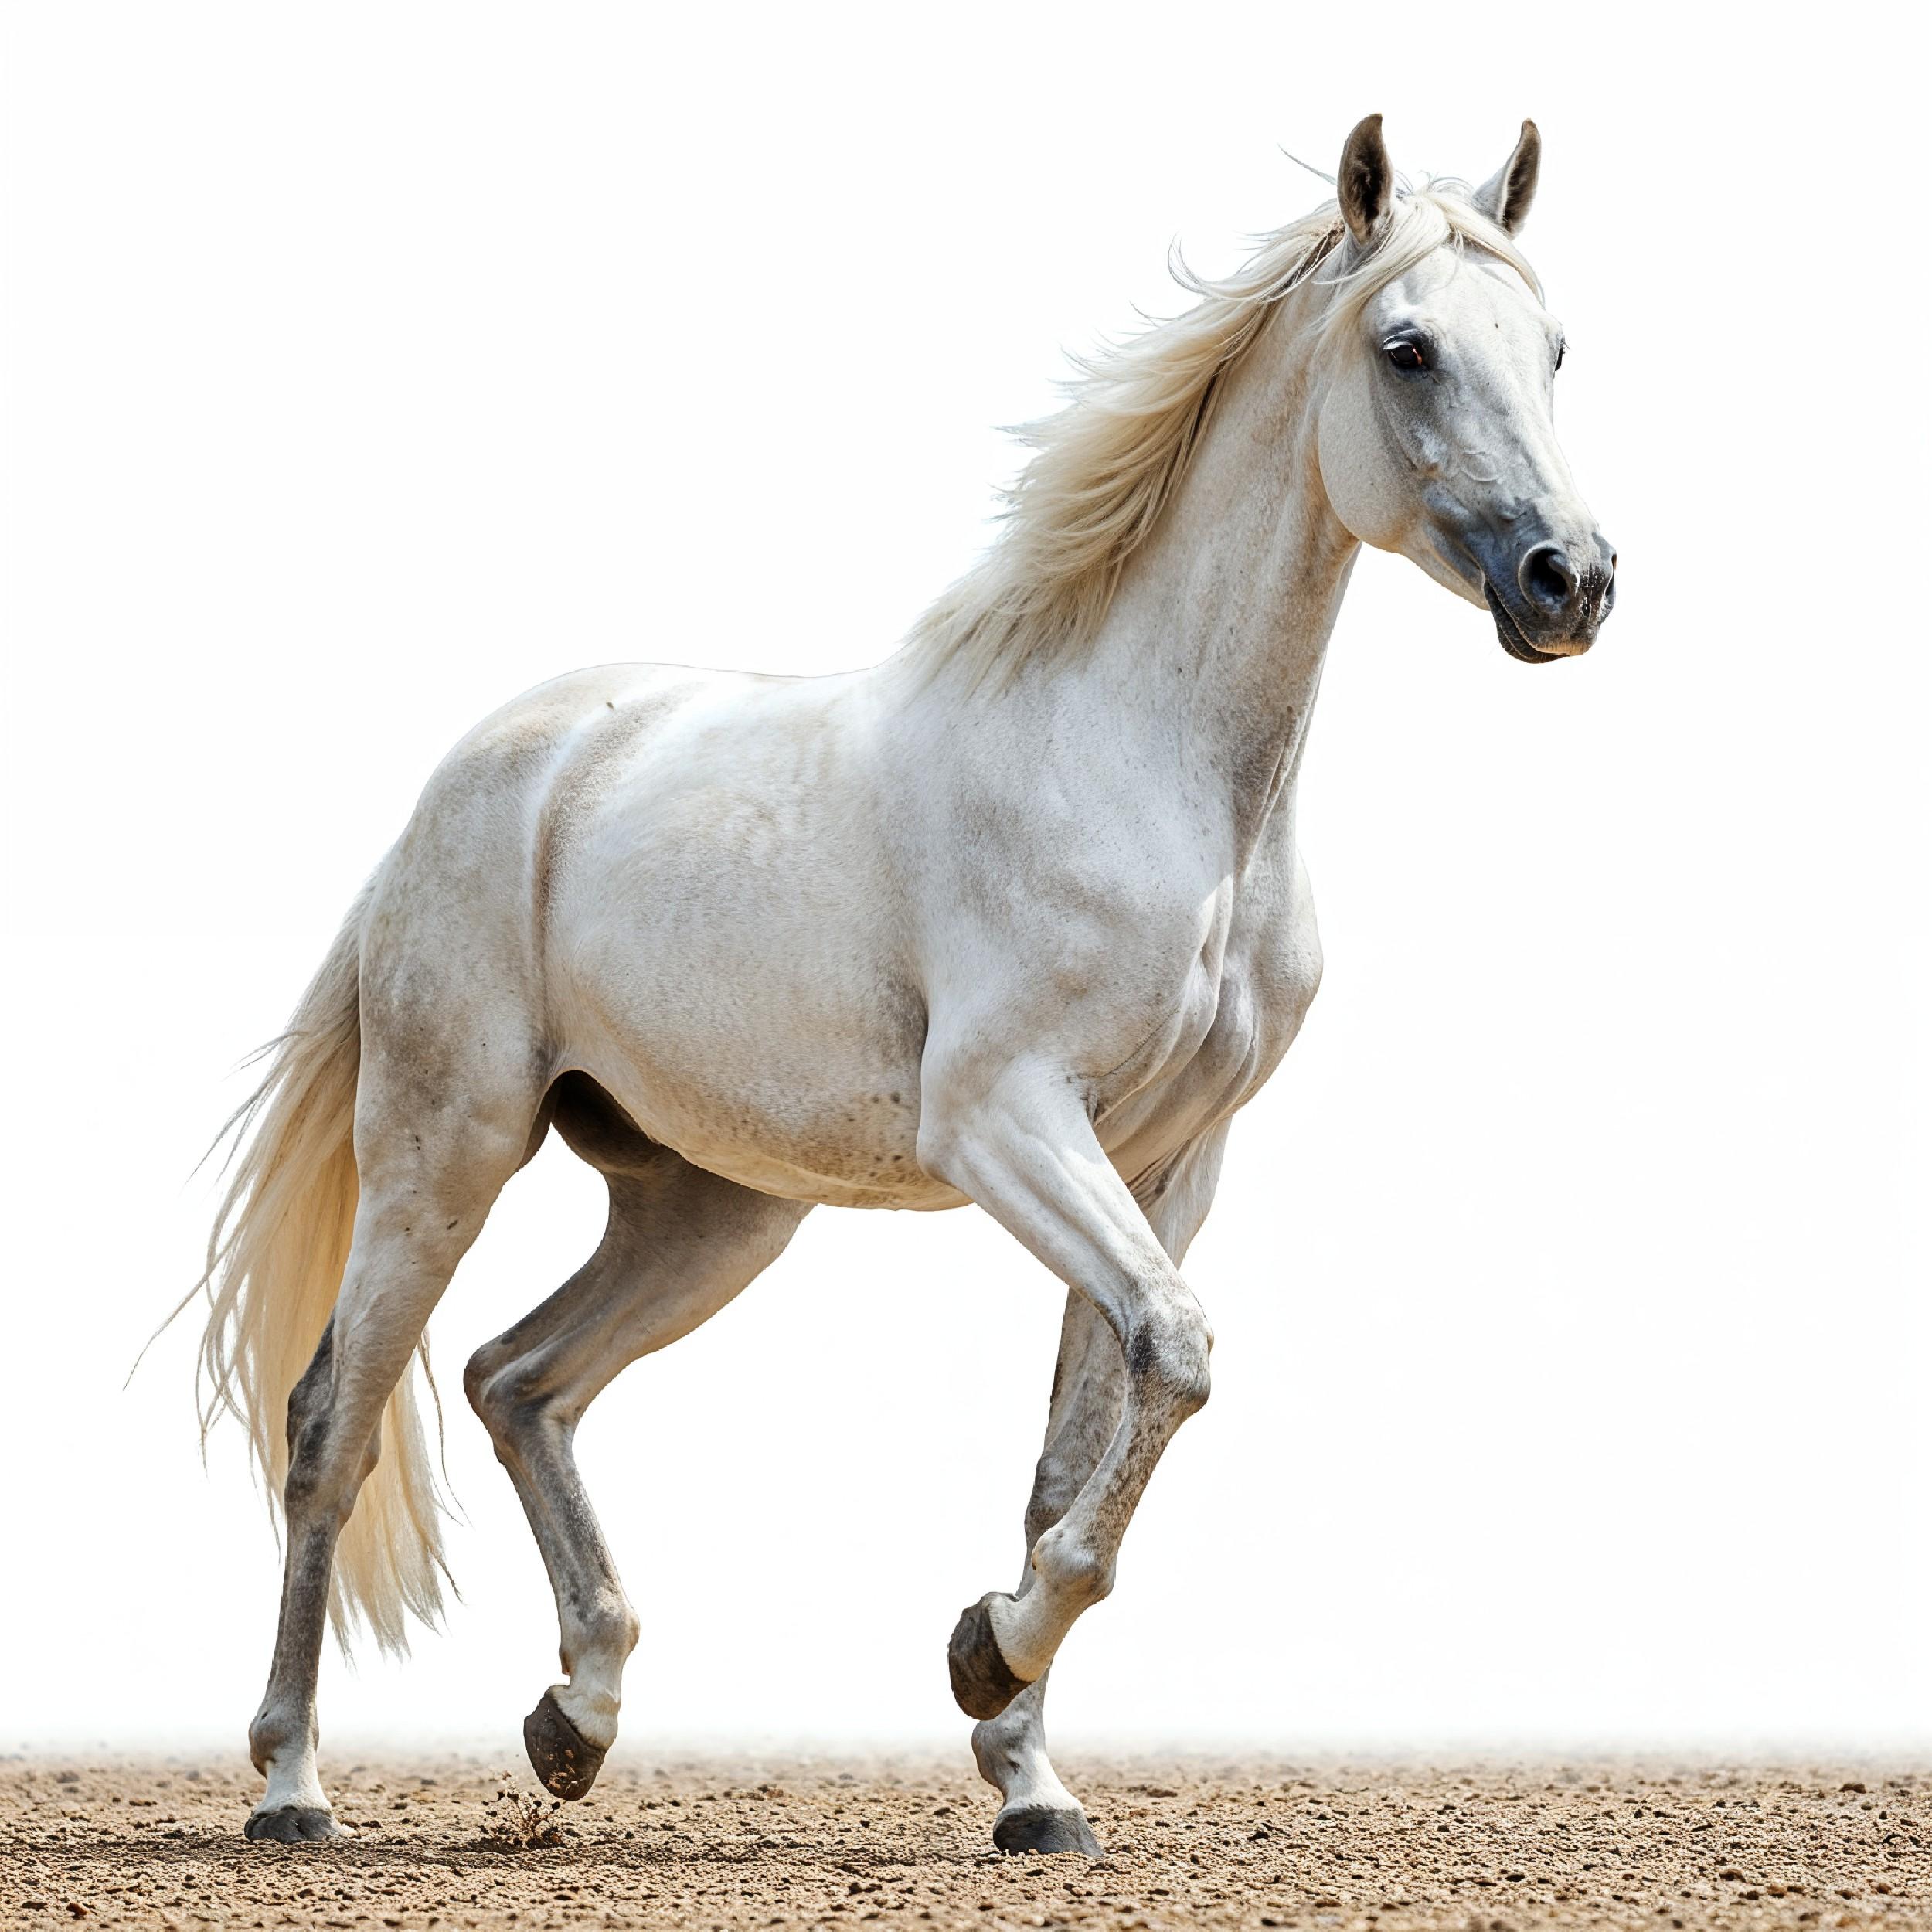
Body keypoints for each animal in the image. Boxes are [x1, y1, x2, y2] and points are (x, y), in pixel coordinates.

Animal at [191, 113, 1614, 1851]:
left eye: (1553, 345)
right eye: (1405, 348)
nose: (1569, 582)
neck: (1147, 773)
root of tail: (478, 776)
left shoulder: (1167, 1163)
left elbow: (1088, 1439)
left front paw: (1029, 1780)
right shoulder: (1003, 1119)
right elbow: (1178, 1355)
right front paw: (985, 1652)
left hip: (712, 1208)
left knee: (515, 1376)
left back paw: (574, 1718)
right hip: (442, 1149)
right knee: (334, 1418)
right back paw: (291, 1783)